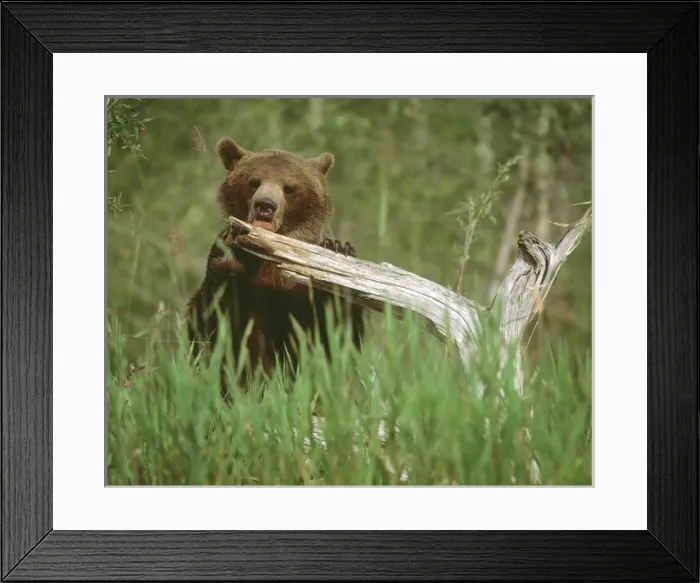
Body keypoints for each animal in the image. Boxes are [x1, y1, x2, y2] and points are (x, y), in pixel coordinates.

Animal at [185, 137, 366, 397]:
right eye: (254, 181)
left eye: (289, 187)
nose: (265, 206)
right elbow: (213, 330)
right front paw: (229, 254)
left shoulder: (299, 296)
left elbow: (338, 334)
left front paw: (338, 247)